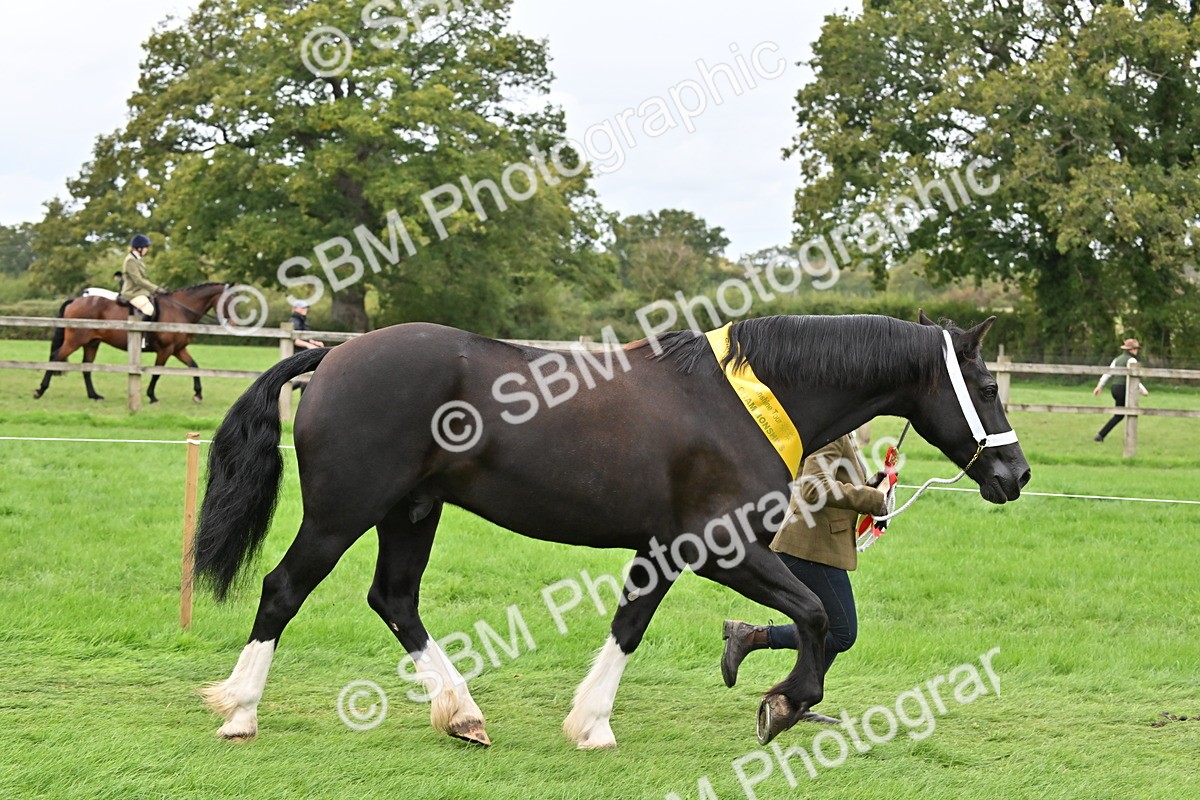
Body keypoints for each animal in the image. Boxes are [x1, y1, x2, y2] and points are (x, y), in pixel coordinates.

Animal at [33, 283, 233, 404]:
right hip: (75, 340)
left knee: (86, 367)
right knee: (56, 357)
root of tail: (75, 300)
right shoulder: (166, 350)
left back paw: (94, 395)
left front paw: (198, 394)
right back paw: (40, 391)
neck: (180, 309)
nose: (231, 322)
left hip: (92, 343)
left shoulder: (178, 349)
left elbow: (194, 367)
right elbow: (157, 373)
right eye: (229, 301)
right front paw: (152, 396)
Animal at [193, 311, 1030, 749]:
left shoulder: (660, 551)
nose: (1015, 475)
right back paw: (239, 711)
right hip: (343, 513)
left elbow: (629, 626)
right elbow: (818, 614)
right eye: (988, 385)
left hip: (411, 513)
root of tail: (331, 356)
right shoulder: (720, 548)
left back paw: (462, 714)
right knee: (283, 590)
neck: (742, 404)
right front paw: (783, 704)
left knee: (395, 600)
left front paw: (590, 722)